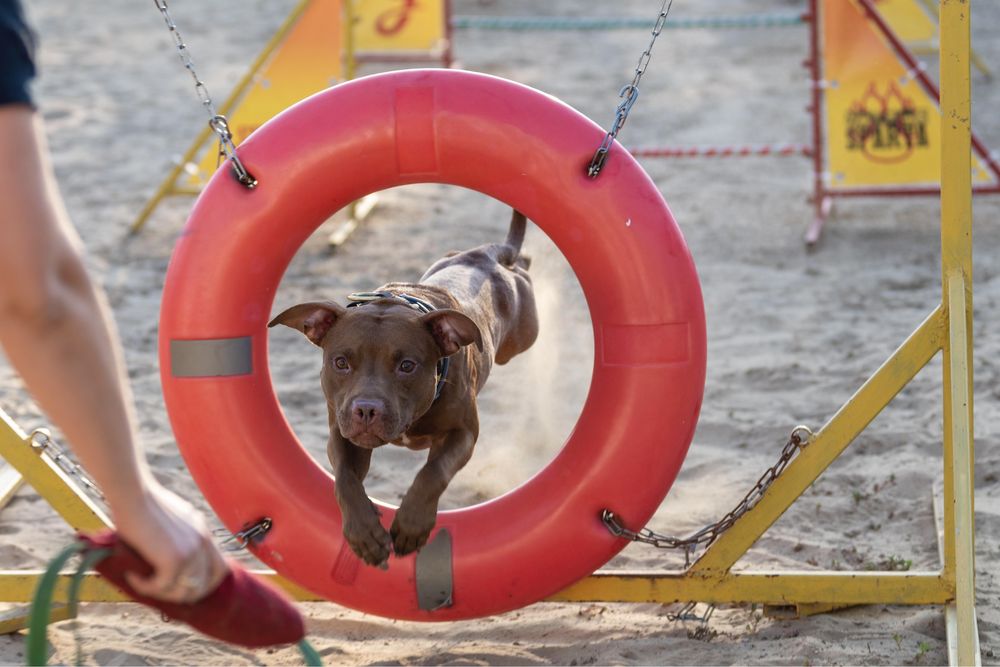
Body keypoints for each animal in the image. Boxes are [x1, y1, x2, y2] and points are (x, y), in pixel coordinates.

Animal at [270, 211, 540, 568]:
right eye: (341, 362)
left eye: (407, 366)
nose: (366, 409)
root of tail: (488, 253)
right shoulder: (343, 433)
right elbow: (345, 478)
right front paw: (364, 534)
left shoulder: (463, 433)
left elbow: (433, 472)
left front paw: (412, 525)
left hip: (525, 332)